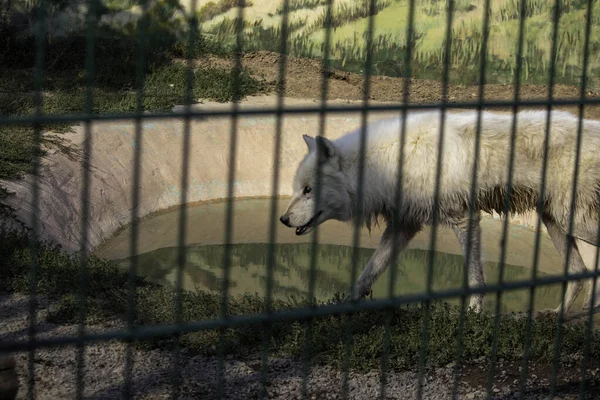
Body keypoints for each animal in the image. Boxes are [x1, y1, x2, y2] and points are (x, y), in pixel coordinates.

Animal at [278, 109, 600, 316]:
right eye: (297, 189)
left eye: (308, 189)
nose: (283, 219)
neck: (385, 163)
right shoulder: (404, 225)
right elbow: (368, 271)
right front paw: (347, 304)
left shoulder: (463, 219)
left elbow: (475, 278)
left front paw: (474, 314)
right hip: (555, 221)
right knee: (579, 271)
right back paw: (561, 313)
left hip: (575, 222)